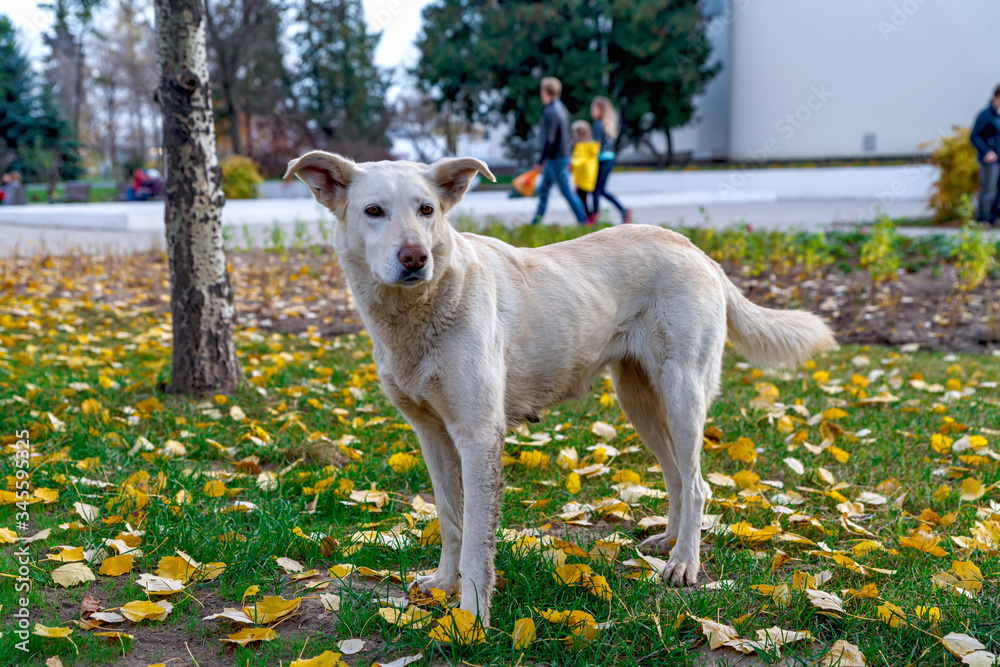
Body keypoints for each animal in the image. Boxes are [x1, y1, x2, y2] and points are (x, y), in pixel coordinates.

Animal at [285, 151, 838, 627]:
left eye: (427, 210)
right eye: (373, 211)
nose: (416, 257)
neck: (420, 308)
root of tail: (697, 250)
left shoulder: (479, 436)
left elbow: (477, 543)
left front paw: (472, 618)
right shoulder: (432, 435)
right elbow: (449, 516)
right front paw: (443, 583)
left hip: (683, 395)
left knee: (698, 484)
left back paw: (685, 564)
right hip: (638, 401)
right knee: (678, 478)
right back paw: (668, 543)